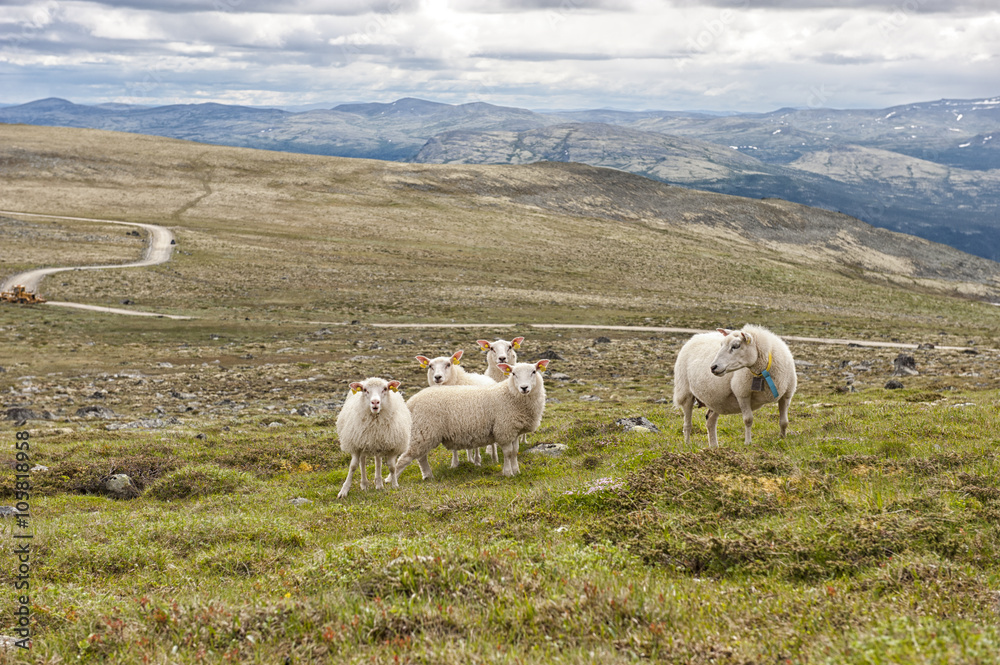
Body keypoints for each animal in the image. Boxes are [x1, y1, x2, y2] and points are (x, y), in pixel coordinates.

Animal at [389, 359, 551, 483]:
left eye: (534, 372)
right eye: (513, 374)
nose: (524, 387)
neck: (510, 395)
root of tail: (411, 401)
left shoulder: (514, 431)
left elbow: (515, 452)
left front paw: (516, 470)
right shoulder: (504, 430)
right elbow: (508, 453)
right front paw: (508, 473)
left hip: (424, 432)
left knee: (421, 457)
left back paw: (428, 476)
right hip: (423, 429)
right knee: (406, 458)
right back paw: (391, 481)